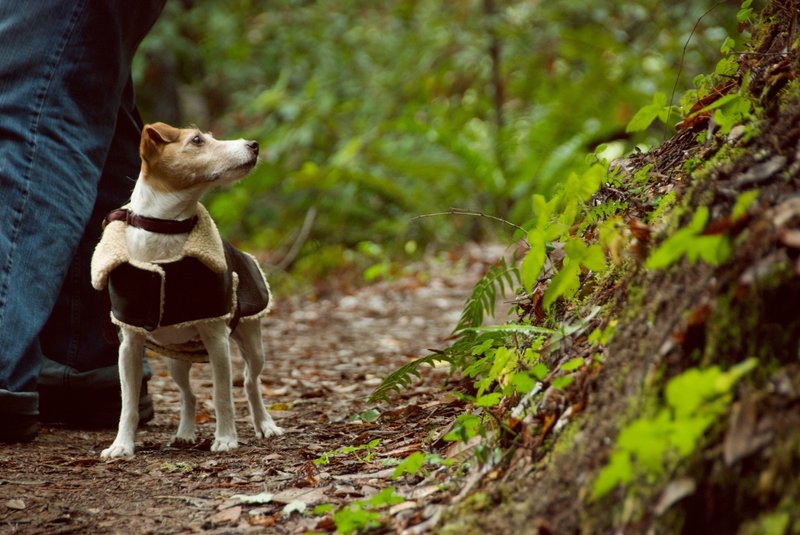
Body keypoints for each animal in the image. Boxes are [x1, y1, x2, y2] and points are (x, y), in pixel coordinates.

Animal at [92, 122, 284, 460]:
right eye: (197, 141)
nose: (254, 144)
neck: (165, 235)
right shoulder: (129, 345)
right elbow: (128, 404)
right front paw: (121, 445)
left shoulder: (217, 338)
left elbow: (222, 395)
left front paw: (226, 439)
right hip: (175, 359)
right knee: (188, 395)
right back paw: (184, 433)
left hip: (252, 342)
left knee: (250, 382)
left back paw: (265, 424)